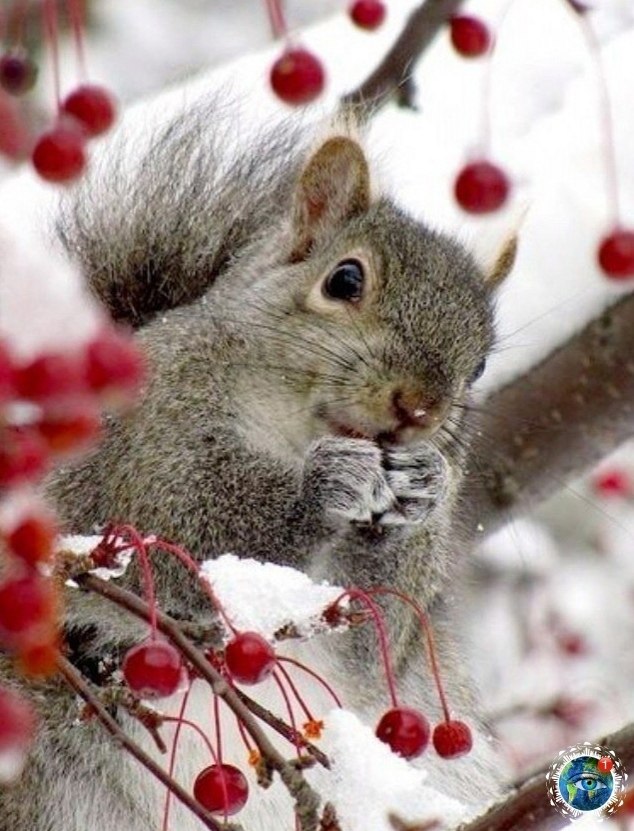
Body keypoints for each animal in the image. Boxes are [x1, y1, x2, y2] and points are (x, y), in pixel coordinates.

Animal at [0, 99, 512, 831]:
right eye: (344, 279)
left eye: (480, 364)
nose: (418, 406)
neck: (294, 431)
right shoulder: (151, 446)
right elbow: (189, 531)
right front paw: (326, 486)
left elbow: (375, 640)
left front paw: (425, 488)